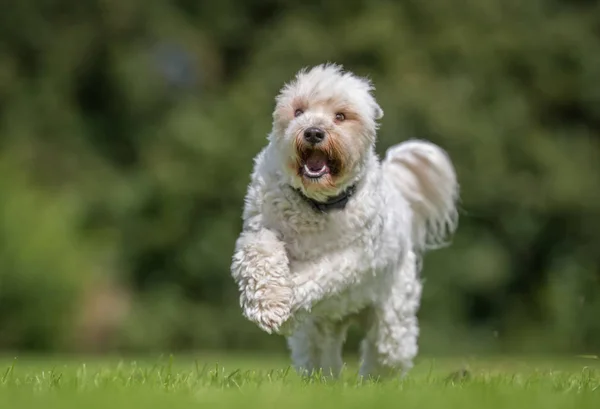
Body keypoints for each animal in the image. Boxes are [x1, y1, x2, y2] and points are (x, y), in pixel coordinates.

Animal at [231, 63, 460, 380]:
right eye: (298, 111)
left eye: (340, 116)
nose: (313, 132)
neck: (317, 205)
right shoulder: (259, 229)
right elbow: (260, 253)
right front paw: (269, 304)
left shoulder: (351, 258)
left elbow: (314, 277)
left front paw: (286, 305)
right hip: (319, 332)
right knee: (321, 358)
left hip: (391, 322)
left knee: (386, 356)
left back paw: (375, 382)